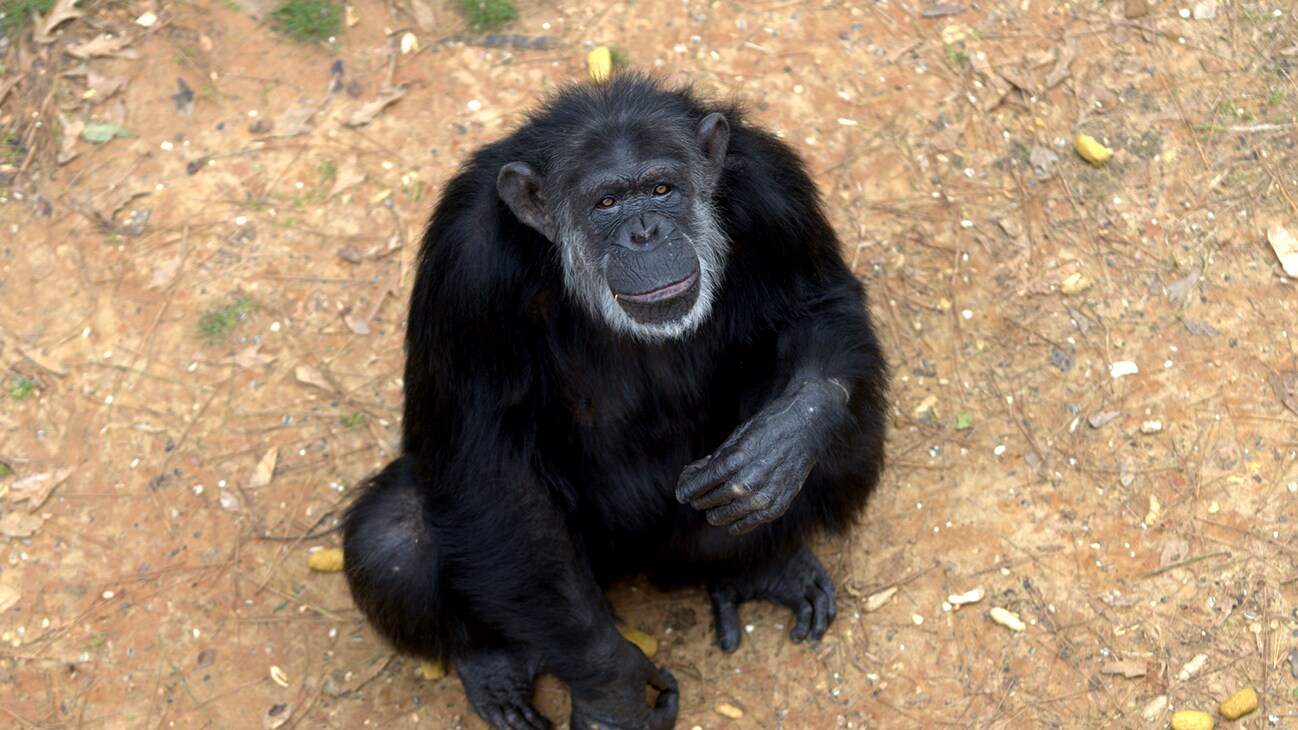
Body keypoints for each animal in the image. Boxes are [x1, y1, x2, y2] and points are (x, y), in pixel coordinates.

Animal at [342, 75, 893, 727]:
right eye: (606, 203)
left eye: (661, 189)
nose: (645, 232)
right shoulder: (466, 266)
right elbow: (487, 463)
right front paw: (616, 690)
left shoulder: (775, 190)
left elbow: (821, 303)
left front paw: (784, 441)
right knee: (395, 535)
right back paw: (495, 663)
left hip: (692, 539)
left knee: (852, 430)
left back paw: (762, 564)